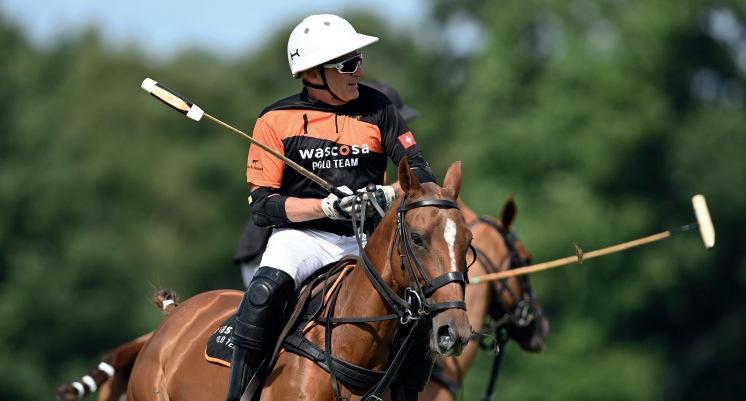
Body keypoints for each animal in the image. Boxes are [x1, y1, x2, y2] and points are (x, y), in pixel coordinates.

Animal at [101, 159, 472, 401]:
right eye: (417, 238)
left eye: (467, 242)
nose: (454, 330)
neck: (352, 347)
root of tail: (173, 316)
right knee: (264, 291)